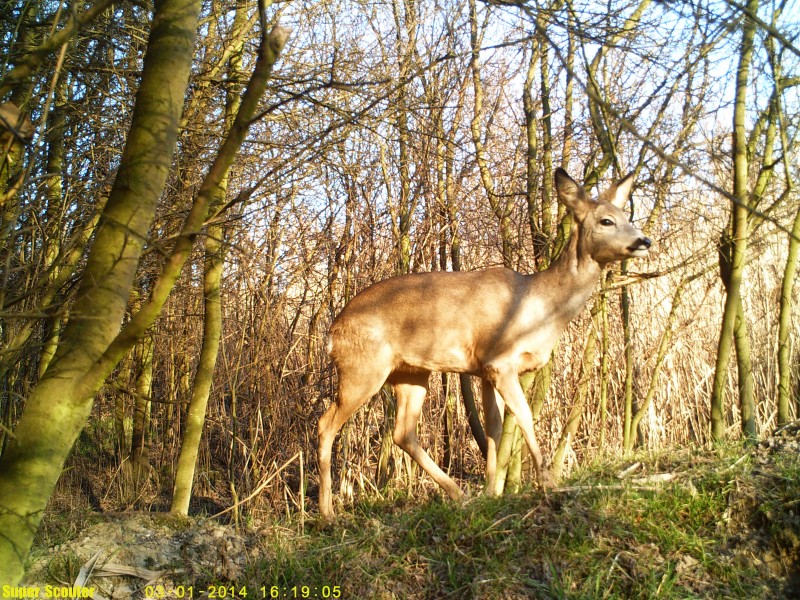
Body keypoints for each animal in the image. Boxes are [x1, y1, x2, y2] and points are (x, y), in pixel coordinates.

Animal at [317, 168, 652, 520]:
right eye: (606, 221)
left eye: (627, 216)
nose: (644, 241)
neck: (539, 306)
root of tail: (333, 331)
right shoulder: (500, 362)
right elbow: (524, 418)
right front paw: (547, 485)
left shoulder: (484, 370)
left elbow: (494, 429)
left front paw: (493, 492)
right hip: (362, 369)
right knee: (326, 425)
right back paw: (327, 513)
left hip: (411, 373)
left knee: (402, 433)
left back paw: (458, 494)